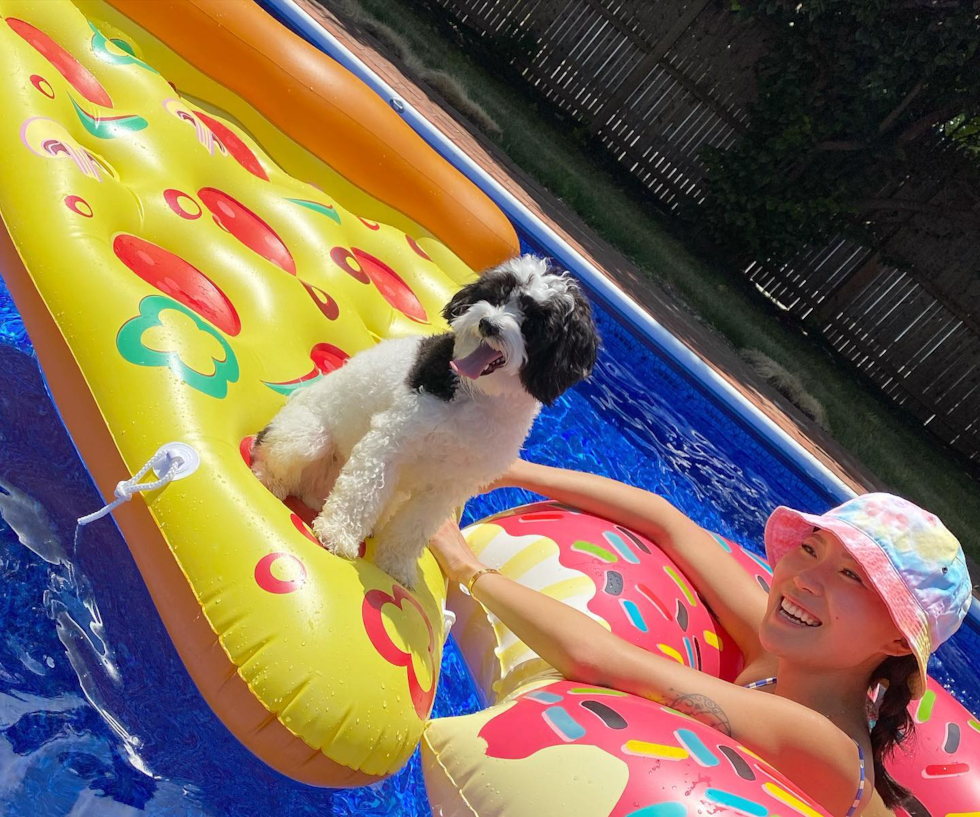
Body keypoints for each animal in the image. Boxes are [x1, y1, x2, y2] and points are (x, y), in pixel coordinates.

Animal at [249, 255, 596, 588]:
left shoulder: (448, 487)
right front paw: (337, 534)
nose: (488, 324)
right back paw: (272, 480)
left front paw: (395, 566)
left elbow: (415, 526)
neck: (480, 394)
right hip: (305, 437)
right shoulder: (390, 441)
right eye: (496, 295)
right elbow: (363, 489)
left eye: (533, 322)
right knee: (280, 458)